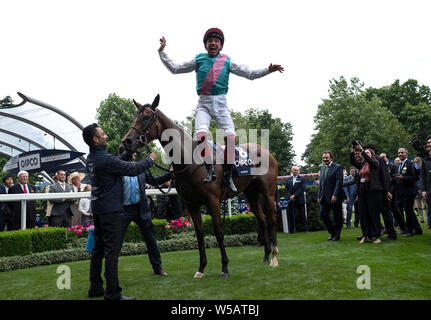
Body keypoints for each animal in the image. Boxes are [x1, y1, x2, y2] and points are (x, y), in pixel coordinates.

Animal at [120, 94, 280, 278]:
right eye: (134, 117)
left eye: (146, 117)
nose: (126, 141)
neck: (191, 160)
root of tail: (265, 151)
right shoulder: (192, 204)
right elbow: (200, 234)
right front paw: (201, 268)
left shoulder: (212, 201)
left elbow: (218, 232)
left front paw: (225, 268)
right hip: (251, 194)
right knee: (262, 220)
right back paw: (266, 255)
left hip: (268, 192)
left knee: (271, 219)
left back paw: (274, 258)